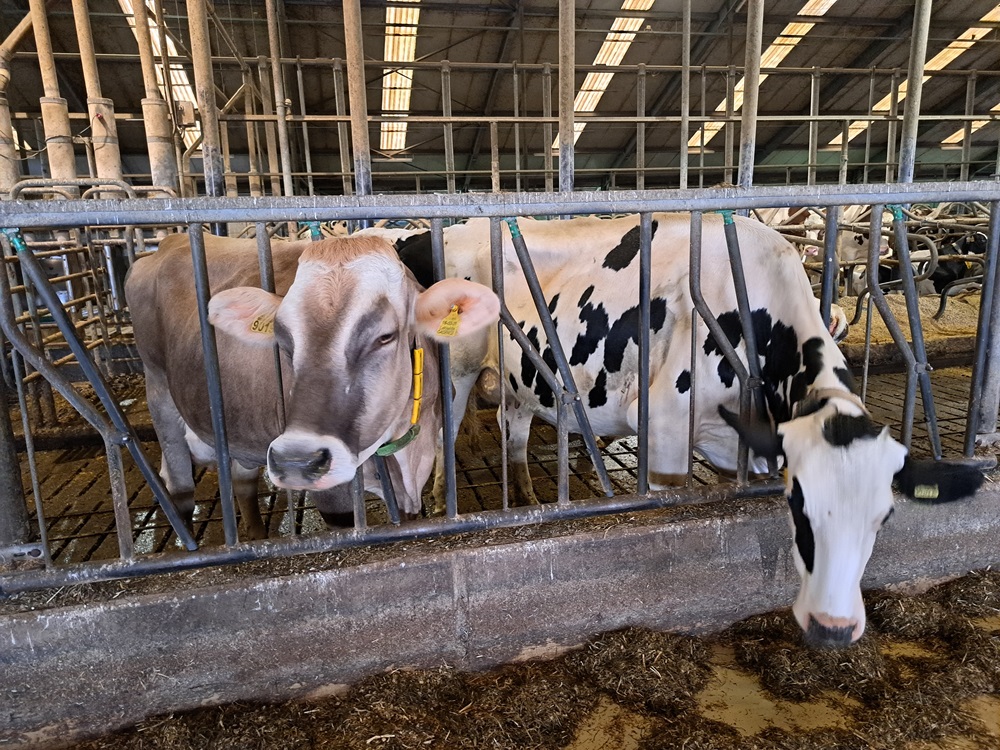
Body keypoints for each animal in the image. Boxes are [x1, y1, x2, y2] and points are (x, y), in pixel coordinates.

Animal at [125, 234, 500, 540]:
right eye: (283, 339)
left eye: (385, 336)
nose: (297, 461)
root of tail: (166, 244)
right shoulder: (334, 499)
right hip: (158, 388)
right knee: (179, 489)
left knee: (242, 480)